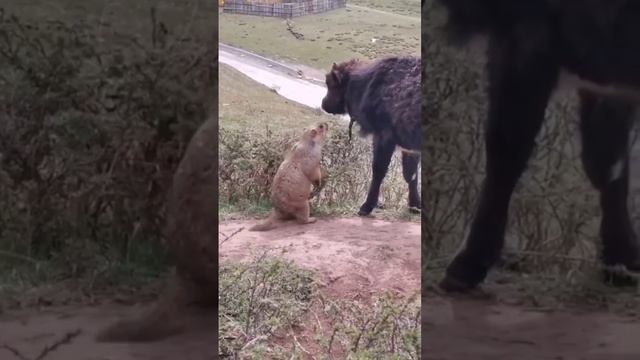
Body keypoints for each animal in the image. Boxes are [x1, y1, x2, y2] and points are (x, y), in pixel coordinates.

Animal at [322, 54, 422, 215]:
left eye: (331, 83)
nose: (323, 103)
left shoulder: (383, 137)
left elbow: (379, 170)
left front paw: (366, 206)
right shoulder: (409, 147)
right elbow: (411, 175)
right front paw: (415, 206)